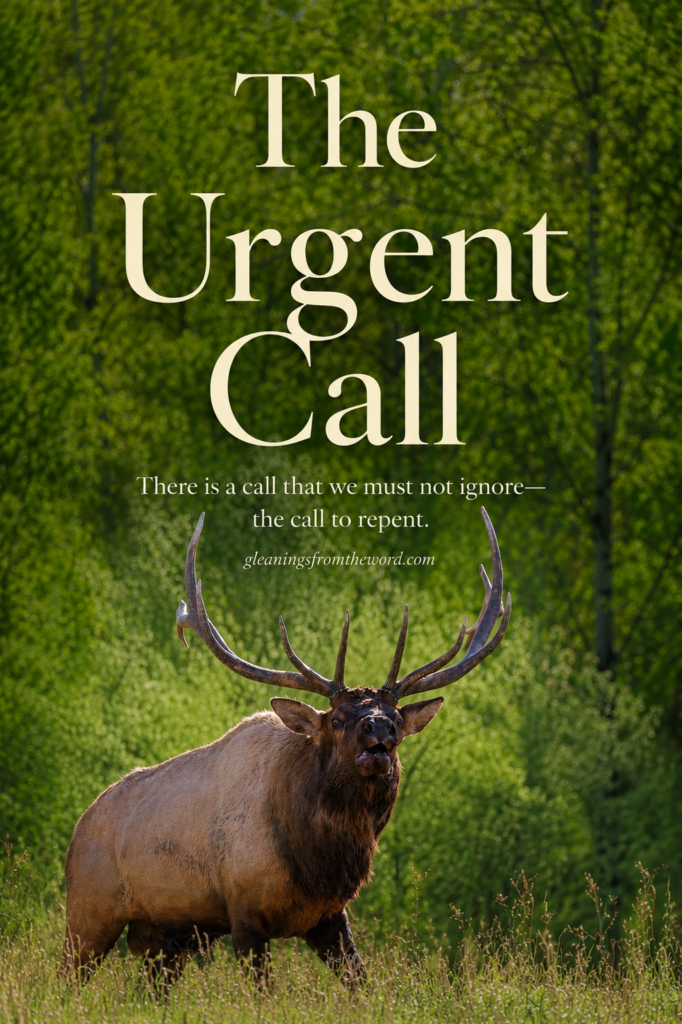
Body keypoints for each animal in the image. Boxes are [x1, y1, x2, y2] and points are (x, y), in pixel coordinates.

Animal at [63, 506, 511, 990]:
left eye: (395, 720)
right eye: (336, 720)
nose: (378, 734)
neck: (316, 860)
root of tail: (79, 827)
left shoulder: (329, 917)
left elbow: (362, 984)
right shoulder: (243, 915)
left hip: (166, 936)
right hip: (87, 913)